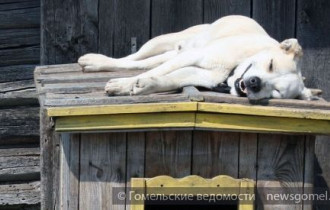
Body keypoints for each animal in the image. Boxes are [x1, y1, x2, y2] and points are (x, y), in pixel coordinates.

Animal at [78, 15, 320, 100]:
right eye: (270, 64)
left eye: (276, 92)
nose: (254, 83)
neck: (230, 74)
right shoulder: (193, 57)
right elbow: (158, 72)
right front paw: (122, 86)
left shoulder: (196, 73)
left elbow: (166, 78)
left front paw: (144, 85)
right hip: (163, 42)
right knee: (131, 59)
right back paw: (95, 61)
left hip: (171, 52)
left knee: (141, 64)